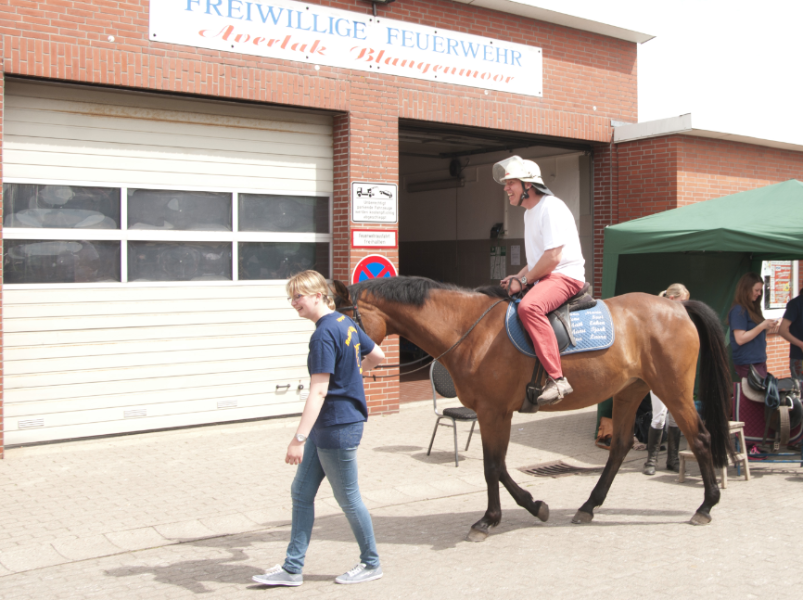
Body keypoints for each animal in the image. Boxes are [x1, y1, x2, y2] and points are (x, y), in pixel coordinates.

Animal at [332, 276, 733, 542]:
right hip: (630, 392)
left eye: (343, 319)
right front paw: (530, 506)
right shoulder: (493, 413)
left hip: (673, 390)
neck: (470, 330)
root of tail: (676, 305)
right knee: (619, 447)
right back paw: (588, 507)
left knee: (700, 438)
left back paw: (706, 506)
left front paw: (491, 519)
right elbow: (499, 467)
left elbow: (493, 467)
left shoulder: (494, 412)